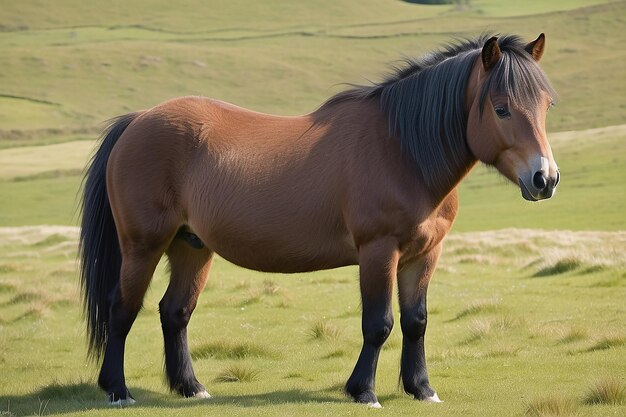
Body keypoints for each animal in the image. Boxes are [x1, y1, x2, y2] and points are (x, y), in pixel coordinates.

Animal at [79, 33, 560, 406]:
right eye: (501, 107)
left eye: (547, 106)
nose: (545, 178)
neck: (401, 151)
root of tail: (138, 120)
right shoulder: (379, 251)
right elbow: (379, 324)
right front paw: (363, 391)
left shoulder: (424, 254)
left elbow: (416, 321)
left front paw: (422, 389)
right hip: (143, 245)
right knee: (122, 310)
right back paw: (118, 390)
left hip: (191, 246)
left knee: (174, 312)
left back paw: (190, 387)